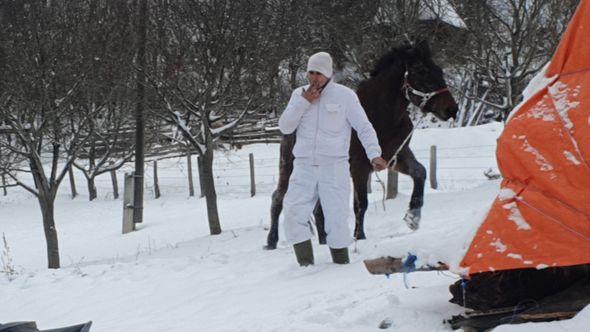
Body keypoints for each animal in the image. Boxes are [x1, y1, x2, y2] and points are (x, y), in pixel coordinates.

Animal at [266, 41, 460, 249]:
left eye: (439, 70)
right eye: (421, 71)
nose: (452, 109)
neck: (381, 115)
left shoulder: (396, 157)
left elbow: (420, 172)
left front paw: (413, 217)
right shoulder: (359, 167)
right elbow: (361, 204)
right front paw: (360, 236)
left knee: (318, 209)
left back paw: (325, 240)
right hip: (289, 169)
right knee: (278, 198)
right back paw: (271, 241)